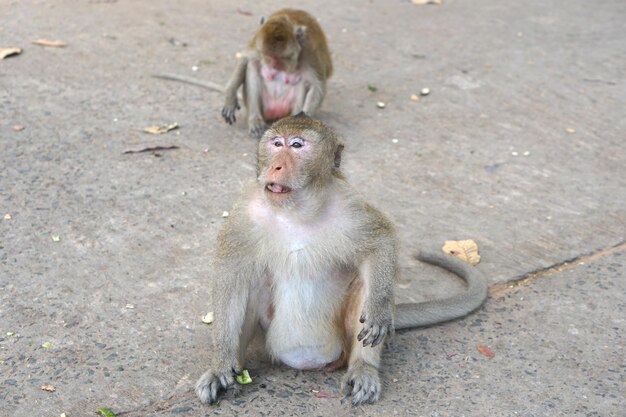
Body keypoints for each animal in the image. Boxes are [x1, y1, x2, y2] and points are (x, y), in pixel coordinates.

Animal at [195, 114, 488, 404]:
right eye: (276, 144)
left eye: (297, 145)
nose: (276, 166)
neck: (296, 210)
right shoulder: (245, 213)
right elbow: (230, 278)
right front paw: (220, 364)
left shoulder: (350, 204)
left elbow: (380, 241)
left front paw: (378, 309)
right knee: (251, 284)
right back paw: (234, 369)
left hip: (342, 342)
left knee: (364, 286)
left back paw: (363, 368)